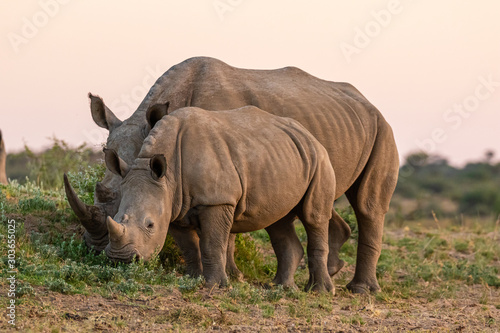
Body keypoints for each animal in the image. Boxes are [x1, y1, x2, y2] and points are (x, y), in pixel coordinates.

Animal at [104, 105, 338, 292]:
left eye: (150, 225)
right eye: (115, 216)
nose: (120, 259)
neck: (168, 175)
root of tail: (310, 135)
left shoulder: (216, 200)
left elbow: (212, 243)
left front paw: (215, 285)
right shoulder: (173, 205)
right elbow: (189, 247)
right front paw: (192, 279)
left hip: (321, 159)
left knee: (313, 217)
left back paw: (320, 291)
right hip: (283, 158)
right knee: (278, 220)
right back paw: (281, 288)